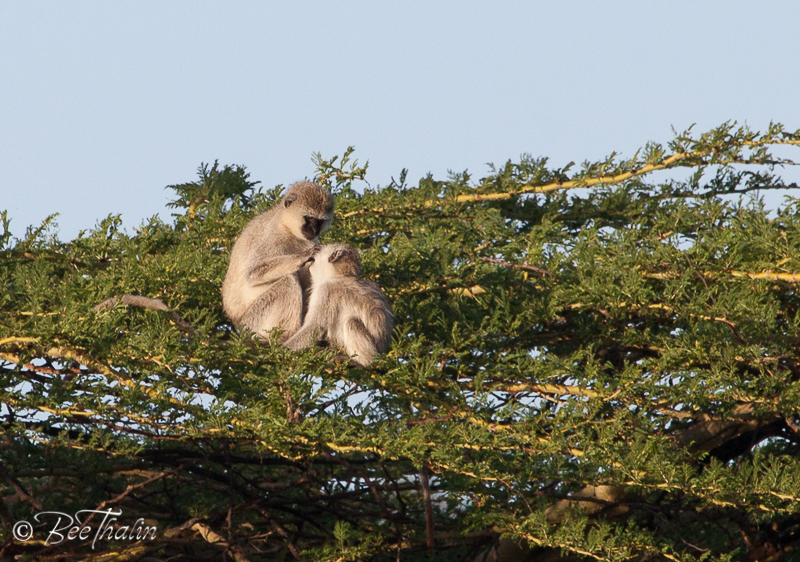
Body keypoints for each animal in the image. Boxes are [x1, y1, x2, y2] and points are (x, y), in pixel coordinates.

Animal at [221, 181, 334, 342]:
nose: (314, 230)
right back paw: (287, 335)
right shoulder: (274, 234)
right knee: (287, 281)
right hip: (253, 322)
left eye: (320, 221)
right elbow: (253, 272)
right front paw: (304, 256)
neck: (287, 226)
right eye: (308, 218)